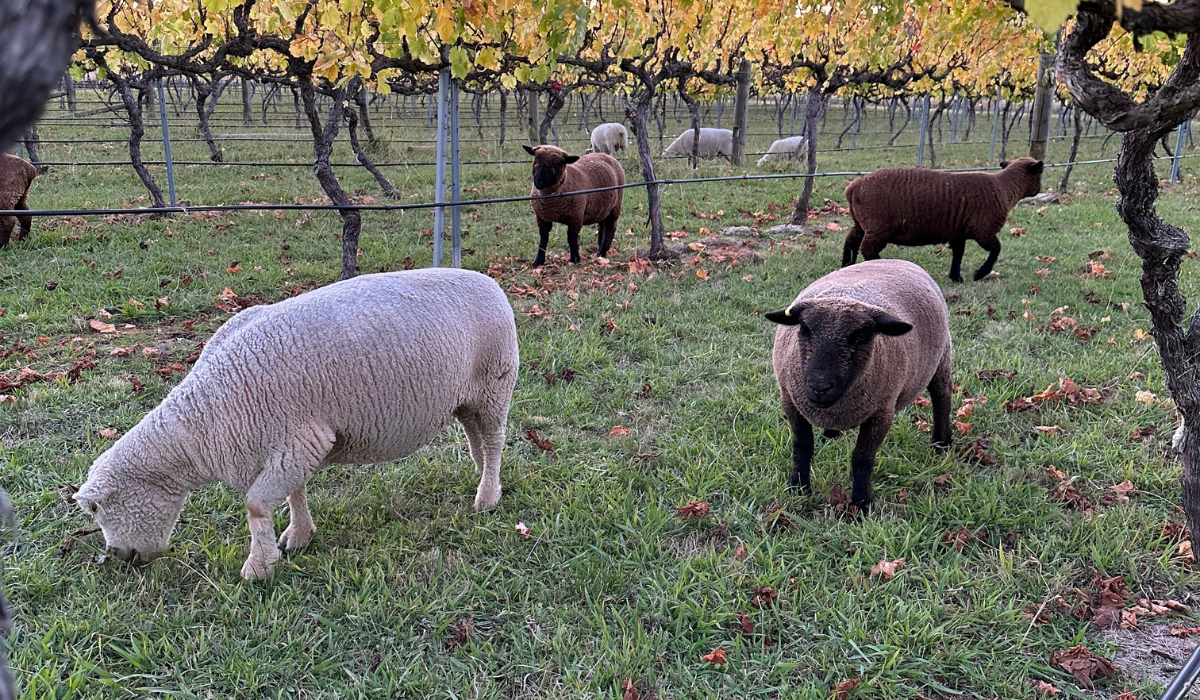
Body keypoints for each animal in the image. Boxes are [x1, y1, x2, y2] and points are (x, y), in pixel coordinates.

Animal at [72, 268, 518, 581]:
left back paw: (486, 498)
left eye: (98, 508)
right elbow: (294, 493)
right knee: (476, 438)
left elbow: (256, 506)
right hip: (467, 398)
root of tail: (489, 282)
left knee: (495, 440)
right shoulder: (291, 444)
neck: (202, 424)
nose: (120, 558)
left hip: (496, 382)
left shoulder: (300, 440)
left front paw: (258, 567)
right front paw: (298, 537)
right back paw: (485, 480)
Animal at [763, 260, 950, 511]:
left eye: (860, 335)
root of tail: (898, 260)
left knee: (942, 397)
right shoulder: (790, 400)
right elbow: (802, 445)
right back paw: (830, 434)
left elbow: (862, 458)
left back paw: (941, 443)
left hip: (942, 357)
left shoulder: (882, 412)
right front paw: (798, 487)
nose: (819, 386)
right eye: (804, 328)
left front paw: (862, 502)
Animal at [840, 158, 1046, 282]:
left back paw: (846, 266)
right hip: (877, 227)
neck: (1005, 188)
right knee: (868, 249)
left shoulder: (957, 232)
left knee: (851, 242)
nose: (1039, 190)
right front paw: (979, 273)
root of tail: (852, 187)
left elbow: (958, 254)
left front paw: (956, 277)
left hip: (861, 223)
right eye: (1040, 174)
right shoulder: (983, 230)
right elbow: (996, 249)